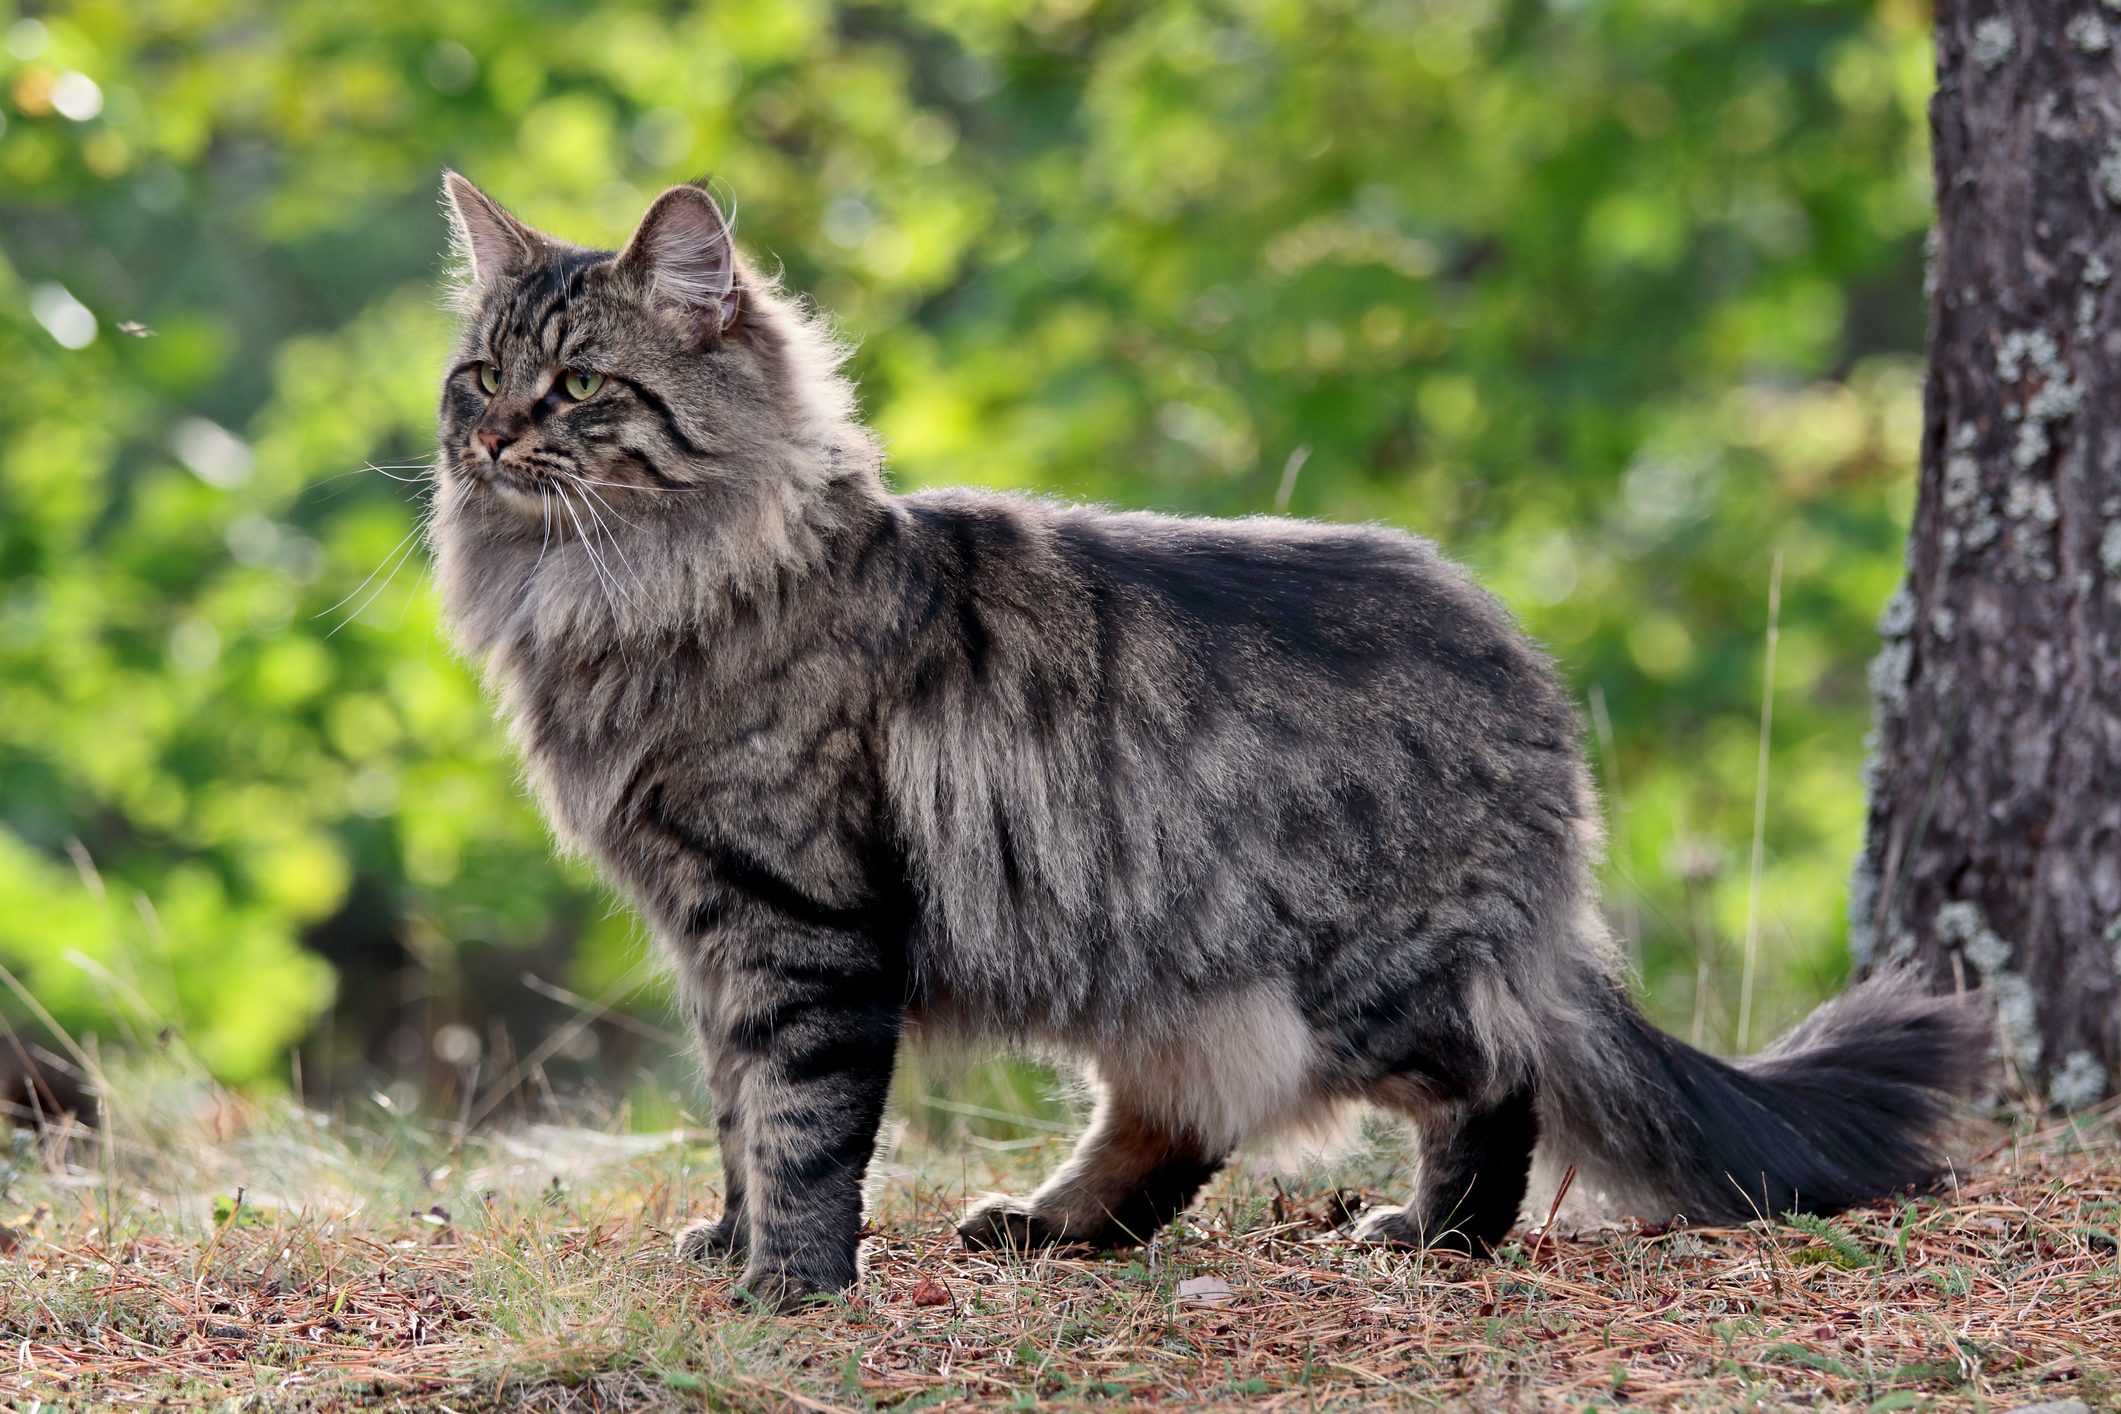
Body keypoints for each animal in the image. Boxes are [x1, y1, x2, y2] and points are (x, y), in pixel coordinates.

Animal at [426, 177, 1985, 1314]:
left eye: (580, 388)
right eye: (477, 376)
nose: (491, 440)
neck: (621, 590)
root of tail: (1526, 678)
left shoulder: (797, 920)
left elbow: (801, 1120)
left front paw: (789, 1287)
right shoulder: (709, 930)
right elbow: (736, 1112)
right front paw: (728, 1239)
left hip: (1358, 978)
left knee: (1498, 1075)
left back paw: (1432, 1239)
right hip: (1154, 970)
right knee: (1175, 1126)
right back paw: (1044, 1226)